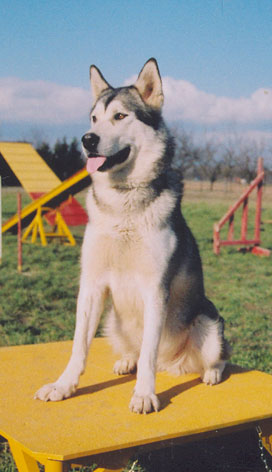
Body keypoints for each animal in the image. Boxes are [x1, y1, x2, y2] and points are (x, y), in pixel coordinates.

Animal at [33, 58, 230, 412]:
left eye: (120, 116)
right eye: (94, 118)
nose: (87, 139)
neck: (123, 205)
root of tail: (172, 364)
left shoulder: (155, 289)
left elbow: (149, 351)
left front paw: (144, 394)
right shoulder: (92, 285)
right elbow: (78, 346)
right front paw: (63, 385)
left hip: (208, 322)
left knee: (215, 356)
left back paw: (210, 373)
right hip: (112, 320)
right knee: (136, 353)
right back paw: (127, 361)